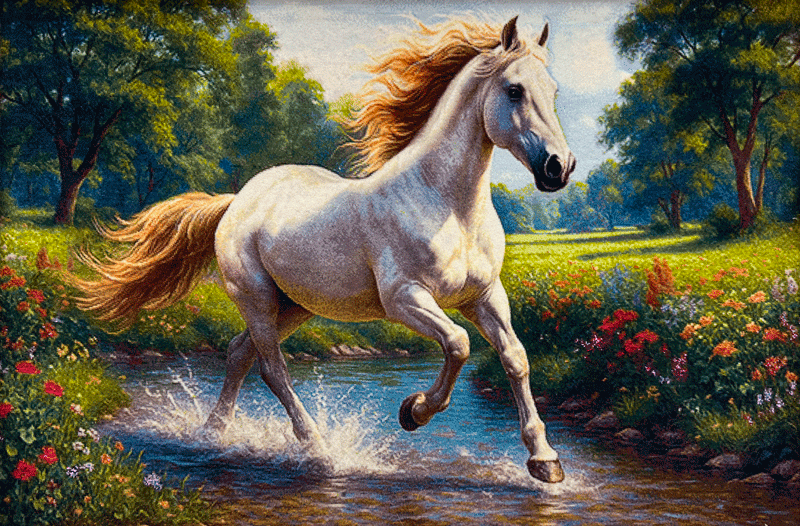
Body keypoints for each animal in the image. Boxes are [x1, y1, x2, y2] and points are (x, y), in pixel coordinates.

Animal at [74, 16, 575, 484]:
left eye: (553, 91)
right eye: (514, 90)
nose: (559, 167)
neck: (446, 203)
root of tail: (237, 200)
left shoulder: (485, 296)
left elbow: (515, 358)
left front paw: (545, 461)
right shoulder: (405, 298)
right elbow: (458, 344)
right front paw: (412, 412)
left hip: (295, 305)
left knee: (239, 353)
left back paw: (213, 433)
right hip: (256, 297)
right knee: (271, 367)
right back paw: (317, 447)